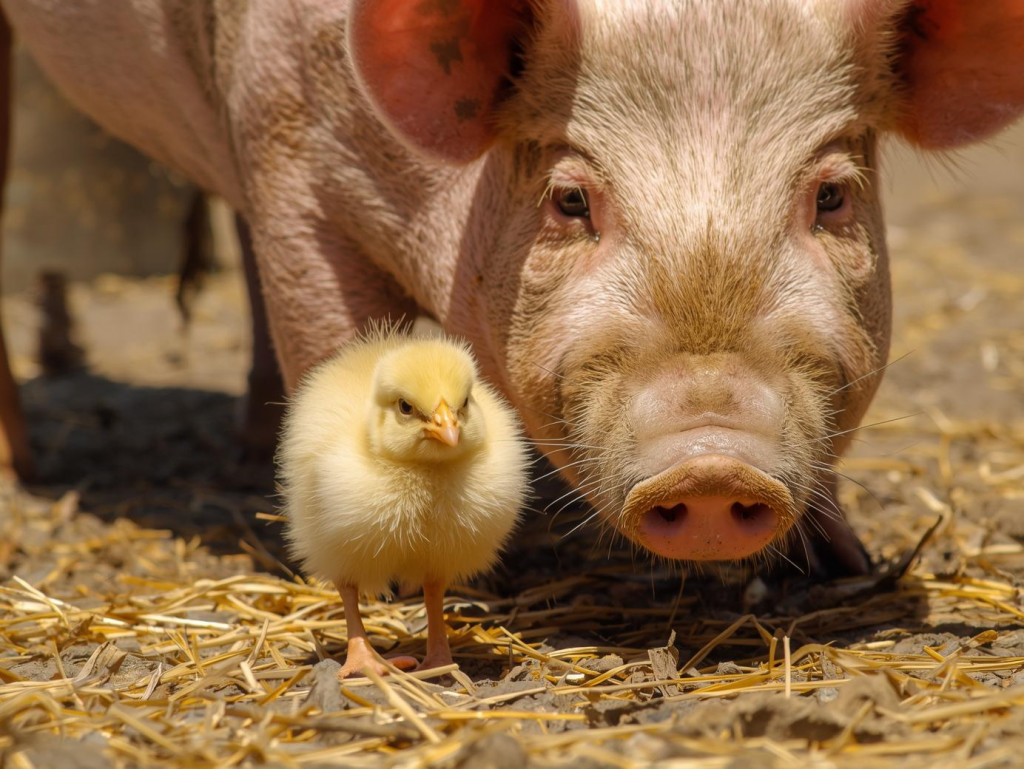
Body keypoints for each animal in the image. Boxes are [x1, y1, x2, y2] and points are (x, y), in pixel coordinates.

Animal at [0, 0, 1021, 574]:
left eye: (833, 195)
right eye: (569, 200)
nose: (711, 460)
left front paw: (839, 565)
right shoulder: (285, 145)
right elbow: (330, 338)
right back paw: (29, 471)